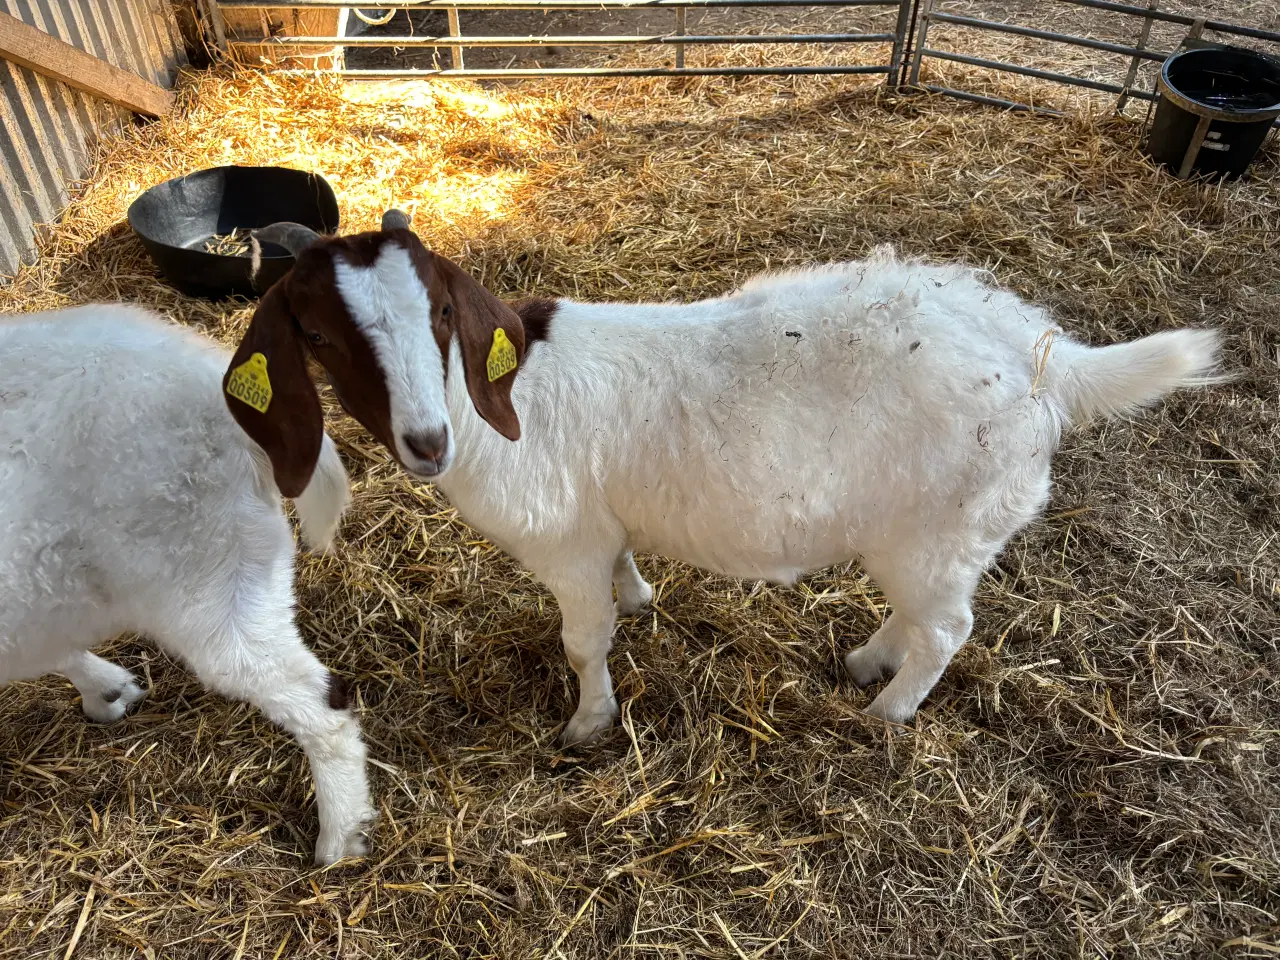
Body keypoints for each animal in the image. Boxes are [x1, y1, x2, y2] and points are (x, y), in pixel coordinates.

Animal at [227, 217, 1218, 742]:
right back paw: (868, 662)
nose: (425, 442)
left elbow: (583, 641)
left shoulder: (565, 543)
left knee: (947, 631)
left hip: (943, 526)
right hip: (927, 536)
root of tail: (1044, 354)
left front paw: (588, 724)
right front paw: (640, 599)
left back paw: (884, 710)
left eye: (439, 312)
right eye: (317, 335)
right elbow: (624, 579)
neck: (491, 401)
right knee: (923, 616)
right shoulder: (602, 528)